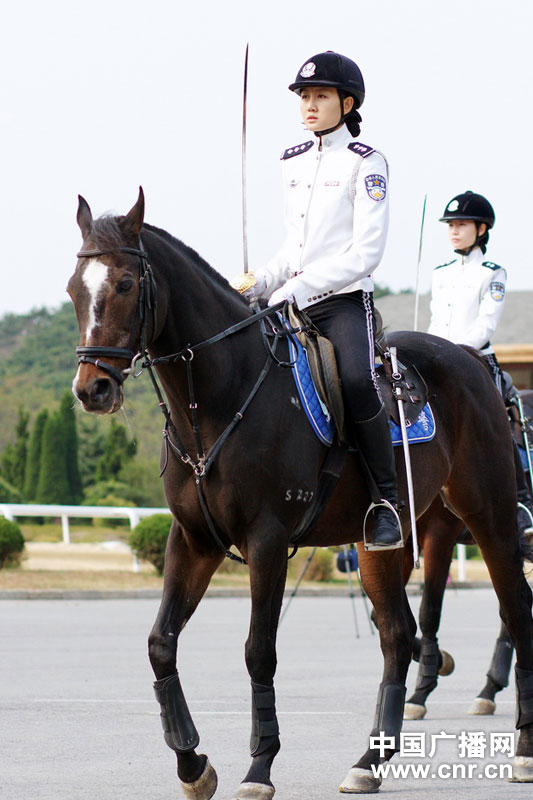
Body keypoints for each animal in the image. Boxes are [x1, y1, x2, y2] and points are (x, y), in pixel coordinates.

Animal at [68, 191, 532, 796]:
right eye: (74, 288)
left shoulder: (267, 541)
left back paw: (520, 744)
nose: (92, 388)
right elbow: (160, 643)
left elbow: (258, 651)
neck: (220, 396)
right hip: (381, 541)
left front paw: (259, 766)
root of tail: (470, 360)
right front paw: (193, 764)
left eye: (125, 283)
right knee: (397, 633)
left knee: (515, 611)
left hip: (490, 515)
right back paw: (371, 759)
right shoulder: (193, 540)